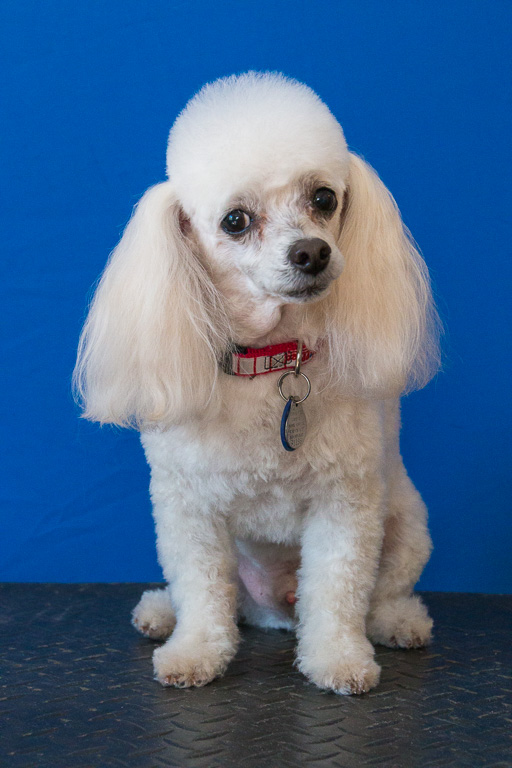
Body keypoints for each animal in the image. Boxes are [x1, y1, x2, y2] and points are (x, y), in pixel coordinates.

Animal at [74, 72, 440, 695]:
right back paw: (161, 611)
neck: (271, 360)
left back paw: (399, 622)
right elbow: (201, 591)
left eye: (324, 198)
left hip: (406, 524)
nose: (312, 251)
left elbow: (338, 590)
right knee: (220, 598)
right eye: (235, 221)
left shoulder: (345, 501)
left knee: (381, 593)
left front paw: (338, 660)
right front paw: (195, 651)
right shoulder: (187, 506)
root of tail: (274, 612)